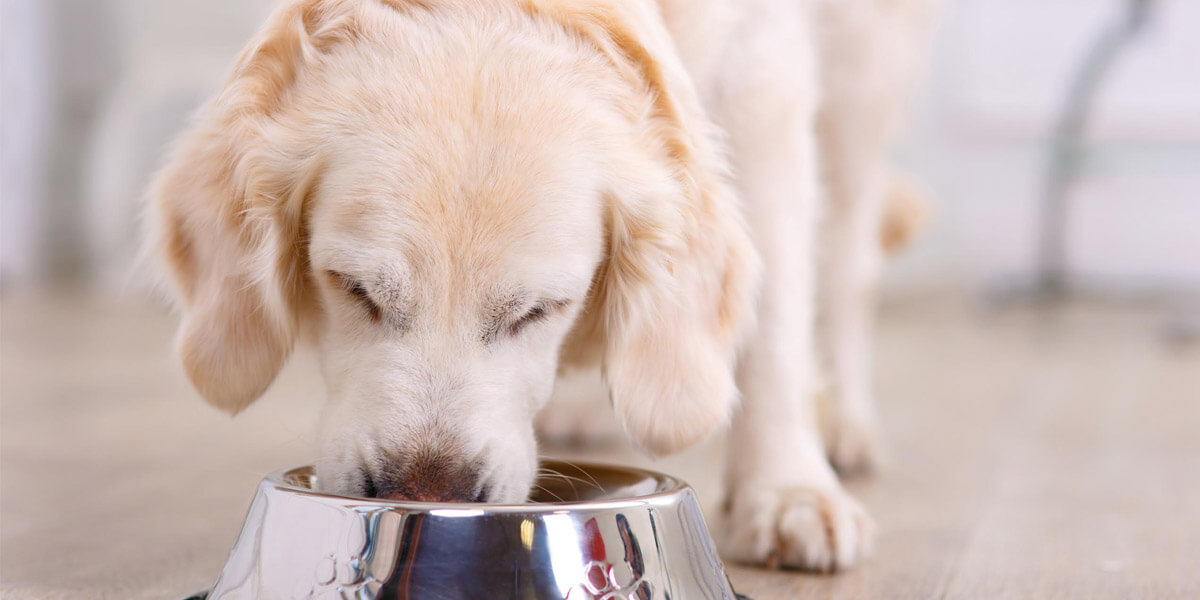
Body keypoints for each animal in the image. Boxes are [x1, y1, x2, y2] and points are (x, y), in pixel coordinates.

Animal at [147, 0, 936, 571]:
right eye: (354, 289)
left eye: (538, 311)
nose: (427, 496)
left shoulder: (763, 80)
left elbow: (775, 320)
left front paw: (787, 491)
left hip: (863, 77)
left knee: (846, 262)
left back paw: (844, 423)